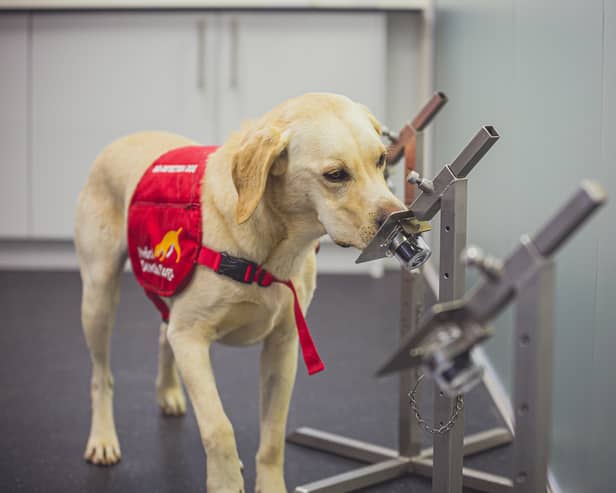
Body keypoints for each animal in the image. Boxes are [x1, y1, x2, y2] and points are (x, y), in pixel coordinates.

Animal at [76, 93, 404, 492]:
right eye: (335, 175)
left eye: (382, 159)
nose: (402, 219)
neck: (273, 250)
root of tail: (121, 140)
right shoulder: (191, 339)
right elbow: (219, 427)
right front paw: (226, 480)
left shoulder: (283, 345)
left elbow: (273, 435)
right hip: (98, 296)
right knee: (100, 375)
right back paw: (103, 438)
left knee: (162, 334)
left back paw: (168, 391)